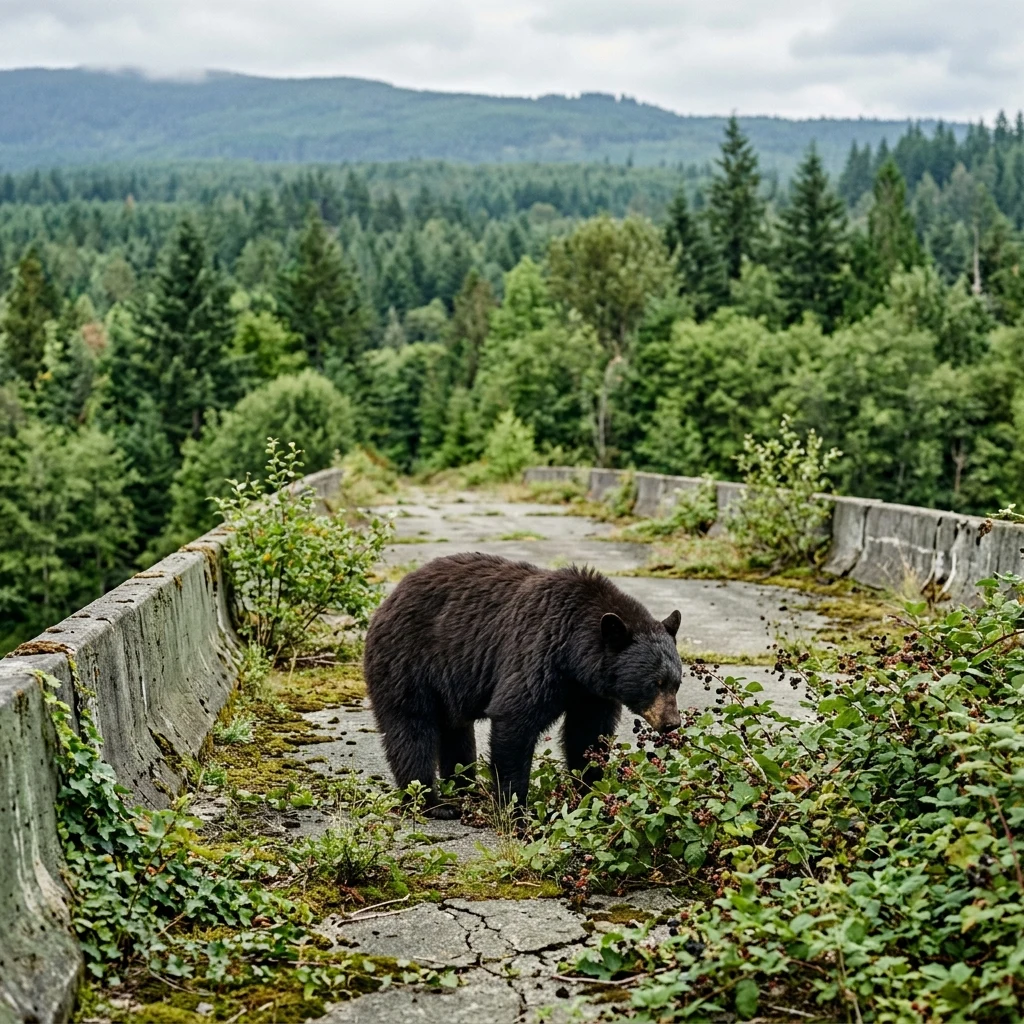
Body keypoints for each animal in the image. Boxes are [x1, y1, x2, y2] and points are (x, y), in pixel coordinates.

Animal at [363, 552, 683, 817]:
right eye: (655, 682)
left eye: (676, 683)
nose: (671, 723)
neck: (574, 653)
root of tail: (389, 599)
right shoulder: (538, 653)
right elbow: (516, 720)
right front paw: (516, 807)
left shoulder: (591, 692)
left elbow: (587, 736)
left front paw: (591, 794)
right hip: (409, 662)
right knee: (411, 728)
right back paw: (431, 802)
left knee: (456, 732)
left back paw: (466, 787)